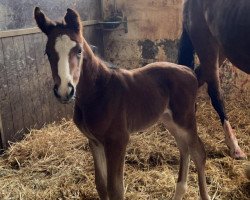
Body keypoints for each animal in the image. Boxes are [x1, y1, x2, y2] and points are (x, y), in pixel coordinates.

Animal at [34, 7, 210, 199]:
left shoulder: (118, 140)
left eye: (79, 50)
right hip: (169, 120)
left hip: (185, 120)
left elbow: (115, 188)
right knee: (184, 149)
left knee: (198, 153)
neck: (98, 92)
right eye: (48, 53)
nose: (65, 90)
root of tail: (190, 72)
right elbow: (101, 185)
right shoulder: (94, 141)